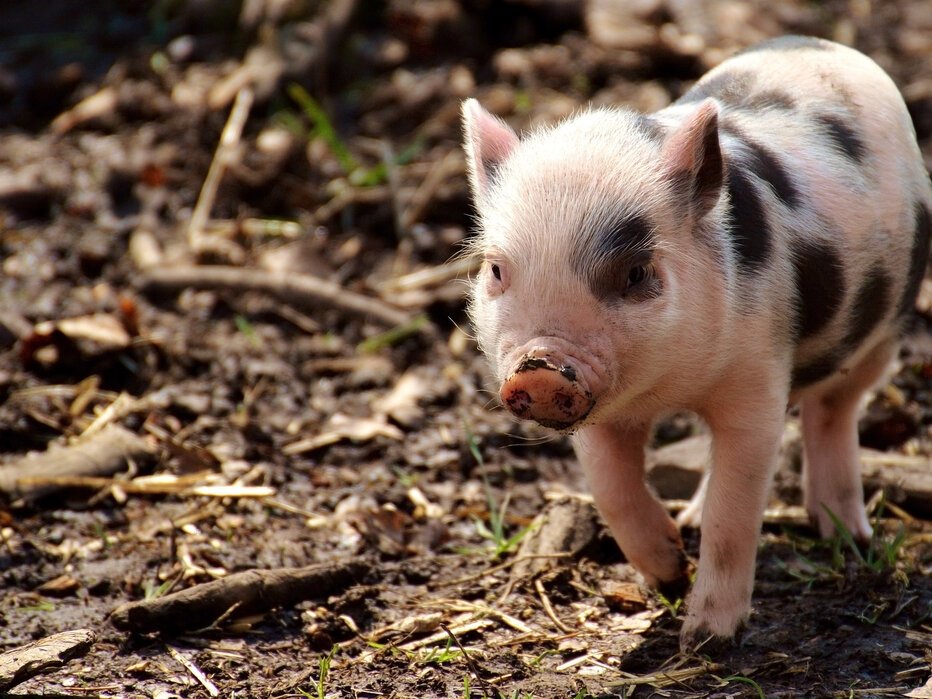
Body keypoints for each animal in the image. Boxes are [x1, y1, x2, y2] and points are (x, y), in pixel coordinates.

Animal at [462, 35, 932, 646]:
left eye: (637, 273)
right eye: (496, 270)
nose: (539, 368)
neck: (671, 388)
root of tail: (828, 47)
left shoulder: (758, 379)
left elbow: (735, 513)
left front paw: (707, 638)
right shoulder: (602, 413)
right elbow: (612, 489)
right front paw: (668, 573)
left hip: (886, 327)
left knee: (835, 409)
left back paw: (845, 537)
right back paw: (691, 521)